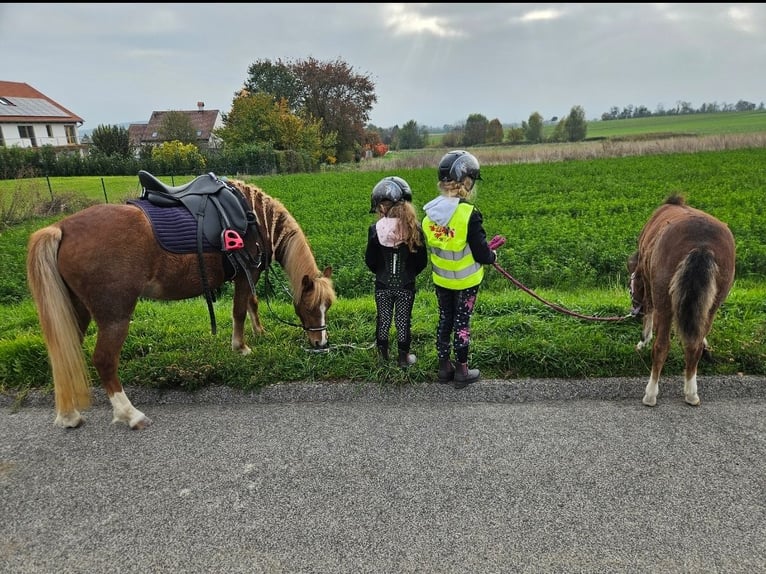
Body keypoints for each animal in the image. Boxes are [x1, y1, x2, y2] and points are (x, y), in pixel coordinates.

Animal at [28, 176, 334, 432]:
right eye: (309, 308)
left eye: (327, 307)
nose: (321, 343)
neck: (256, 217)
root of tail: (60, 228)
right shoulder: (247, 272)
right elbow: (239, 310)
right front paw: (241, 347)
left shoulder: (248, 275)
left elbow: (251, 304)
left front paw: (259, 331)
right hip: (115, 316)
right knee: (103, 360)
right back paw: (130, 414)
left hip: (76, 310)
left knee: (65, 355)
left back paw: (69, 415)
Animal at [632, 196, 736, 408]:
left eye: (633, 285)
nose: (634, 311)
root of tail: (702, 246)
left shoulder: (648, 280)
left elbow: (650, 310)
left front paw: (643, 340)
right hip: (713, 303)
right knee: (694, 345)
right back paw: (691, 392)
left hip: (664, 299)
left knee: (661, 346)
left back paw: (651, 394)